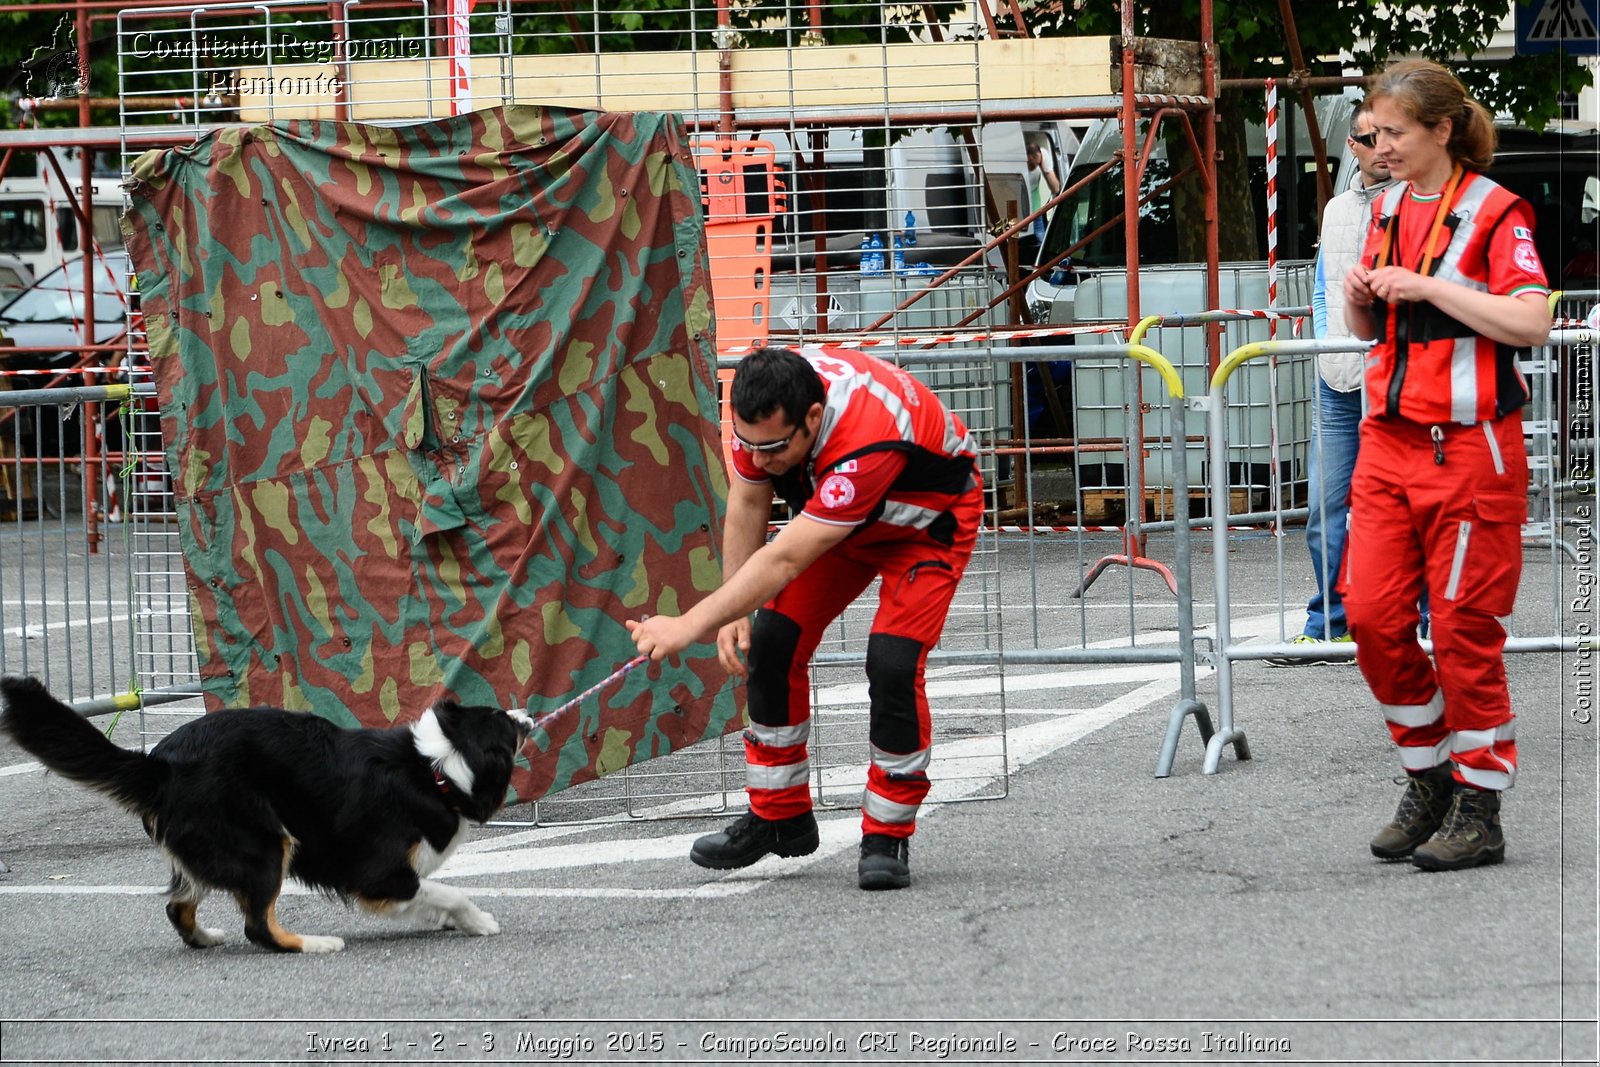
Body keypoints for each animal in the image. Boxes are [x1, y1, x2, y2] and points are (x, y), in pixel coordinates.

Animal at [0, 671, 537, 953]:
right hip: (265, 844)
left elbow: (433, 894)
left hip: (217, 848)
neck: (436, 769)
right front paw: (476, 921)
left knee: (179, 906)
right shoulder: (379, 873)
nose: (529, 714)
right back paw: (316, 943)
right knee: (258, 927)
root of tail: (160, 765)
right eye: (503, 723)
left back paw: (207, 937)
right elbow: (448, 891)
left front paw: (452, 922)